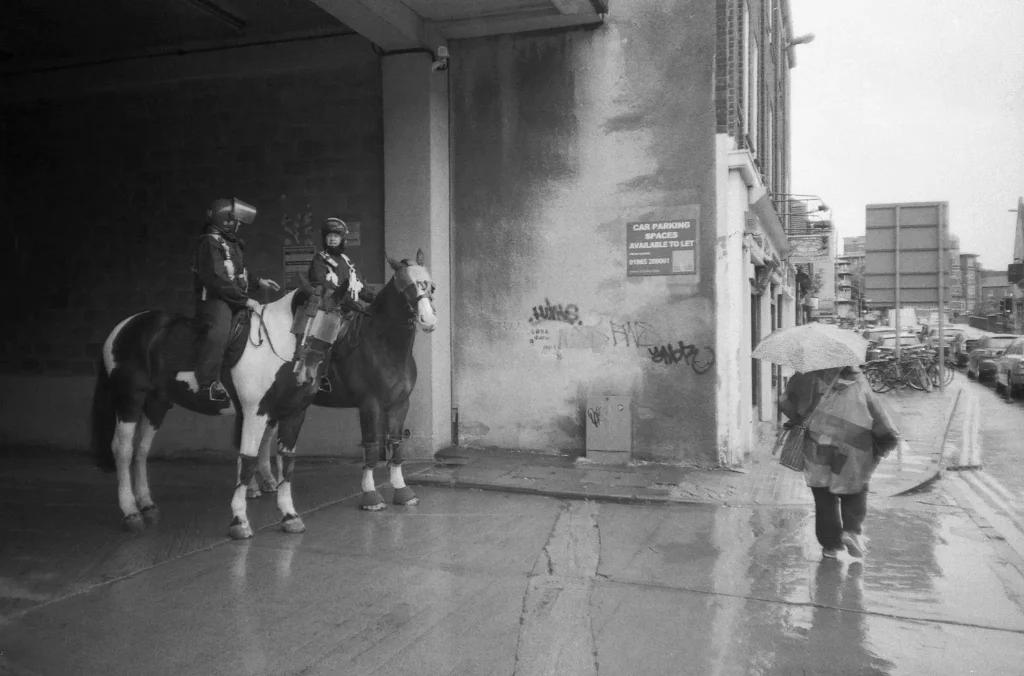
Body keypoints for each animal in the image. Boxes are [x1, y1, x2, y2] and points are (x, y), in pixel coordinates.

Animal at [91, 247, 436, 536]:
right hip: (131, 399)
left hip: (158, 402)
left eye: (430, 286)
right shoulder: (368, 404)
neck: (382, 344)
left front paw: (402, 491)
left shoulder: (396, 405)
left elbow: (394, 446)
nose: (428, 320)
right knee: (123, 449)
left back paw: (150, 503)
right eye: (406, 286)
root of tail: (124, 326)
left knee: (142, 450)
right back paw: (132, 511)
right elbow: (371, 448)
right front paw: (371, 495)